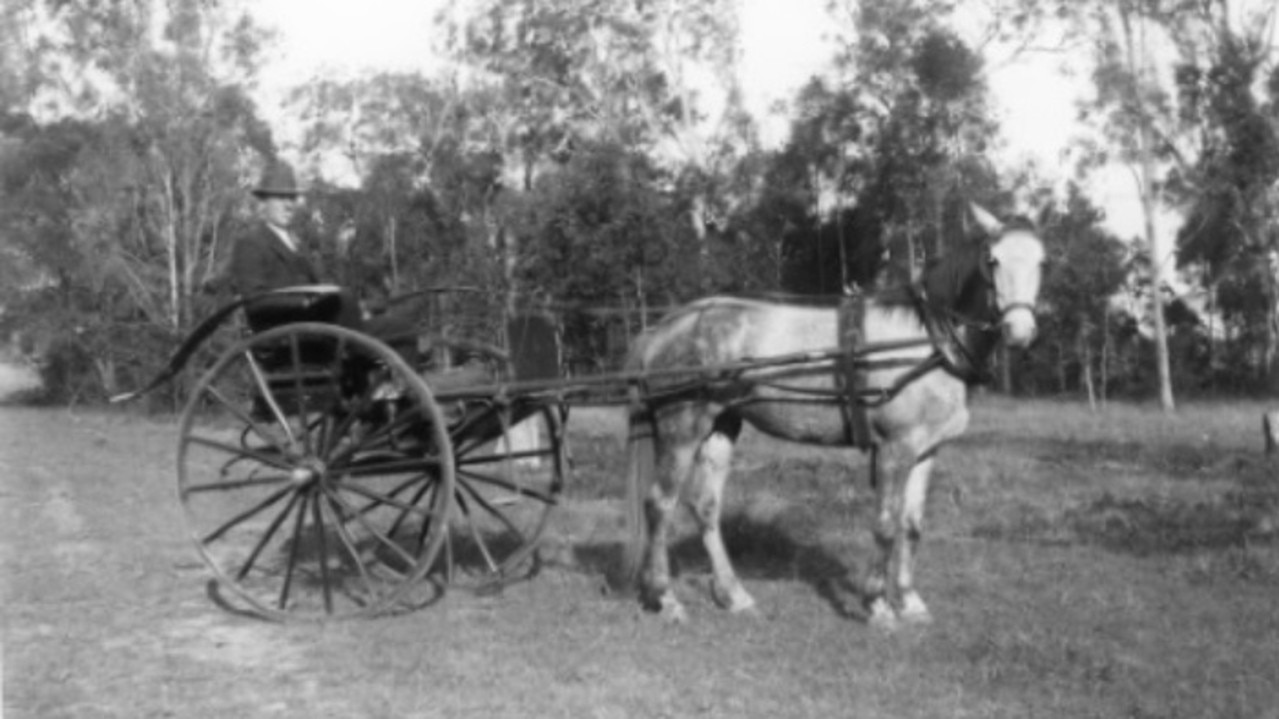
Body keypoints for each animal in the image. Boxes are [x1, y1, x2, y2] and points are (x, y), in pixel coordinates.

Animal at [621, 203, 1048, 626]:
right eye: (993, 260)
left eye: (1042, 261)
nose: (1019, 331)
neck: (927, 339)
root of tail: (661, 329)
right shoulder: (896, 448)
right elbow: (886, 524)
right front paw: (877, 605)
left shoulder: (926, 451)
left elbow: (911, 526)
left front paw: (910, 602)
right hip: (682, 427)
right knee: (659, 504)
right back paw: (665, 597)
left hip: (722, 424)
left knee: (706, 507)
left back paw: (733, 595)